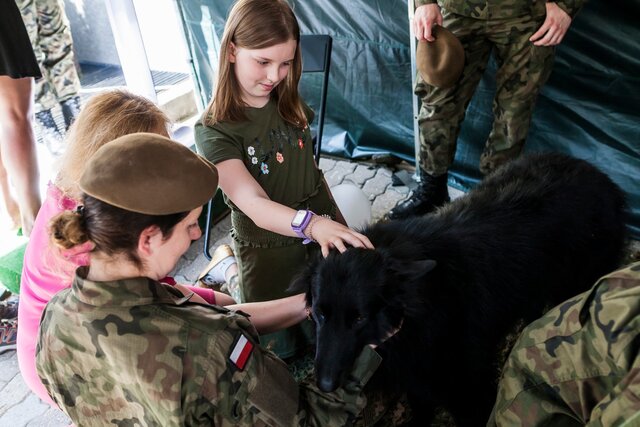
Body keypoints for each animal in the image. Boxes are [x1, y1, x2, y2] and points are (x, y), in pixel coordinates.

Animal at [292, 155, 628, 427]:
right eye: (319, 315)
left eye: (359, 319)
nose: (325, 385)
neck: (422, 300)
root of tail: (601, 175)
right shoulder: (417, 375)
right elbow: (421, 407)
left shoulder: (468, 386)